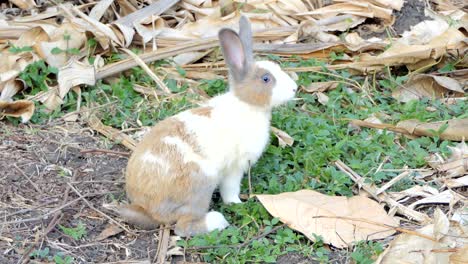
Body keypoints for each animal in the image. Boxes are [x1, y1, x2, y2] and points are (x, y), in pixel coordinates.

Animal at [119, 15, 296, 236]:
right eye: (266, 79)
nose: (294, 88)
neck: (247, 105)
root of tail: (147, 206)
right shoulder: (234, 168)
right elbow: (230, 190)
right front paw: (237, 204)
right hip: (201, 185)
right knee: (182, 227)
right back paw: (218, 221)